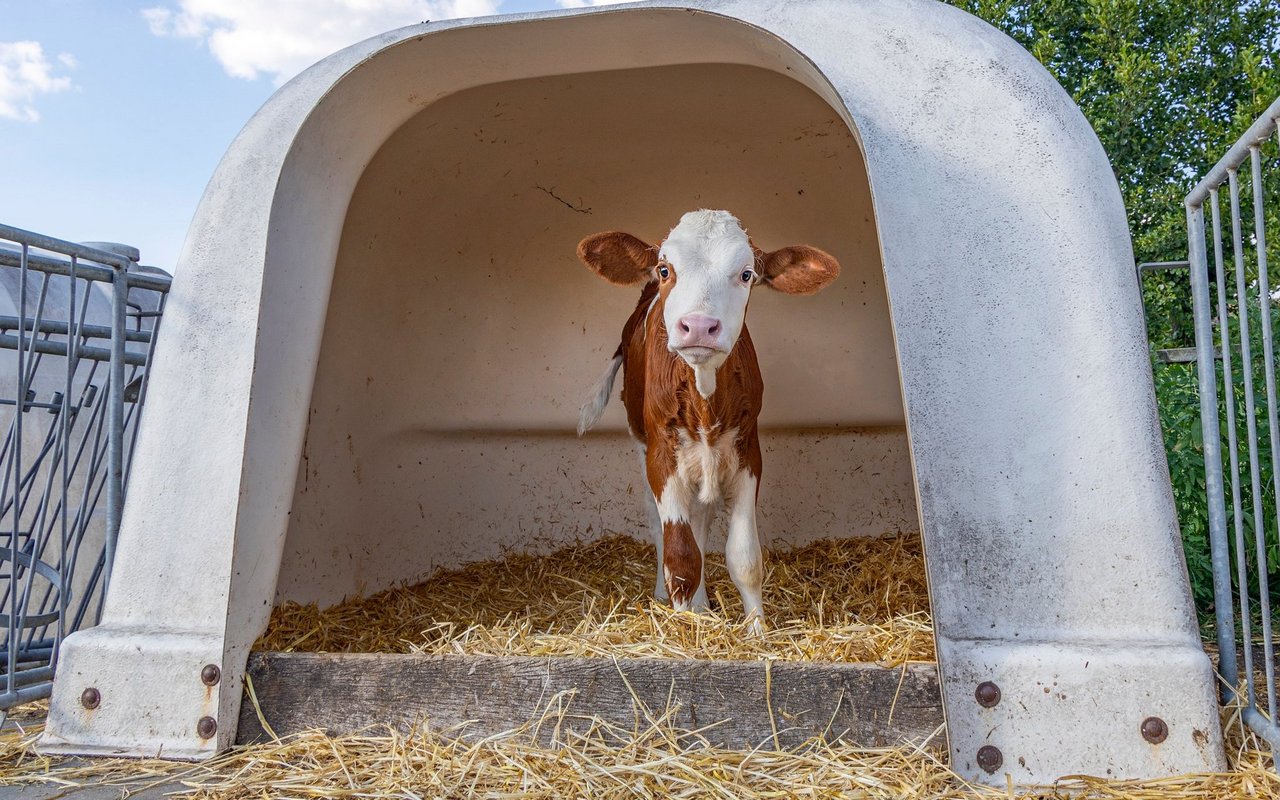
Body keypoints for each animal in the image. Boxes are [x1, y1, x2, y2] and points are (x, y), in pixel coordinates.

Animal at [573, 211, 834, 629]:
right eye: (665, 269)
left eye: (746, 274)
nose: (698, 326)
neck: (704, 396)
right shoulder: (661, 455)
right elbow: (680, 558)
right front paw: (684, 629)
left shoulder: (748, 453)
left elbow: (744, 558)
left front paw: (757, 631)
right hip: (641, 442)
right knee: (660, 524)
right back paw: (669, 598)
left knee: (701, 518)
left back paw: (700, 604)